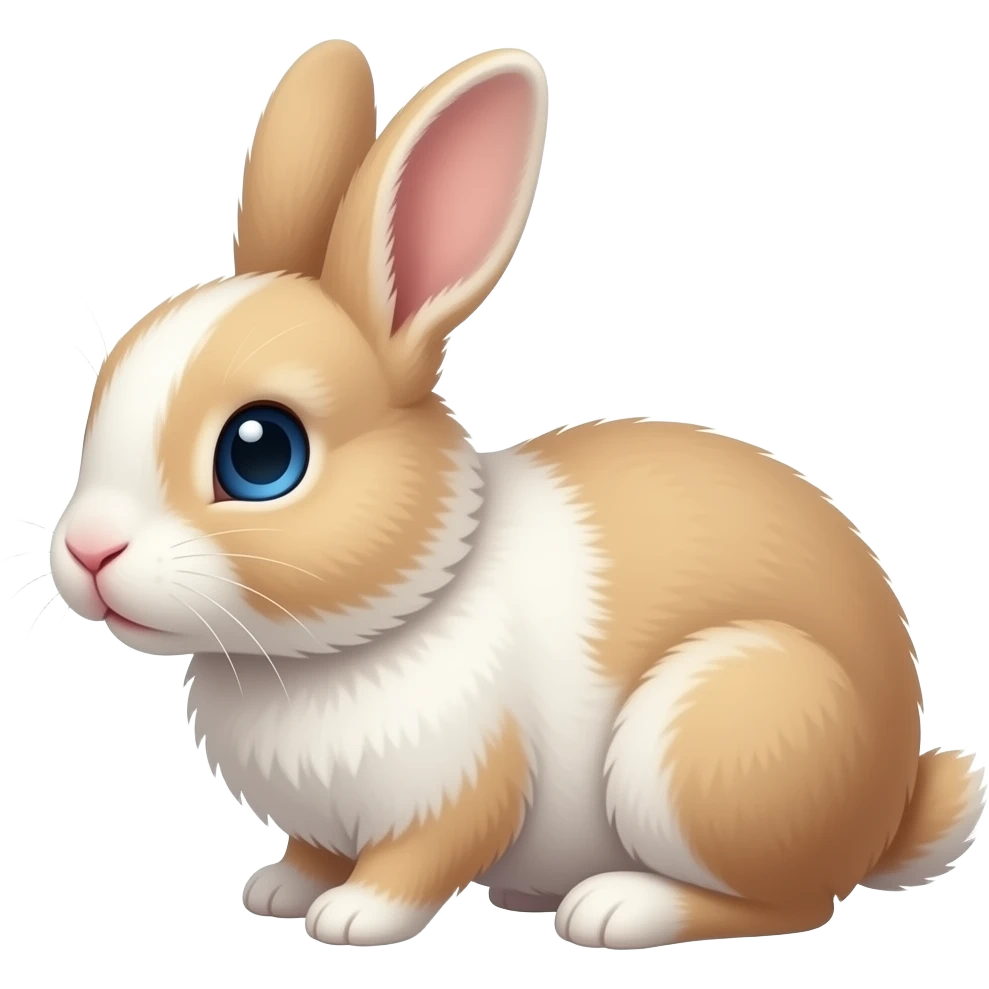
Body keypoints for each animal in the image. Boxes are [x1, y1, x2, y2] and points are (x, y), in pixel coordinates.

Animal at [52, 40, 985, 950]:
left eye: (262, 452)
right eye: (99, 393)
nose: (88, 552)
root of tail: (886, 811)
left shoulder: (461, 788)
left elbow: (420, 860)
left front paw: (352, 918)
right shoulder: (324, 817)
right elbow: (314, 850)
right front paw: (280, 889)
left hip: (710, 735)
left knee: (791, 902)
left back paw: (615, 908)